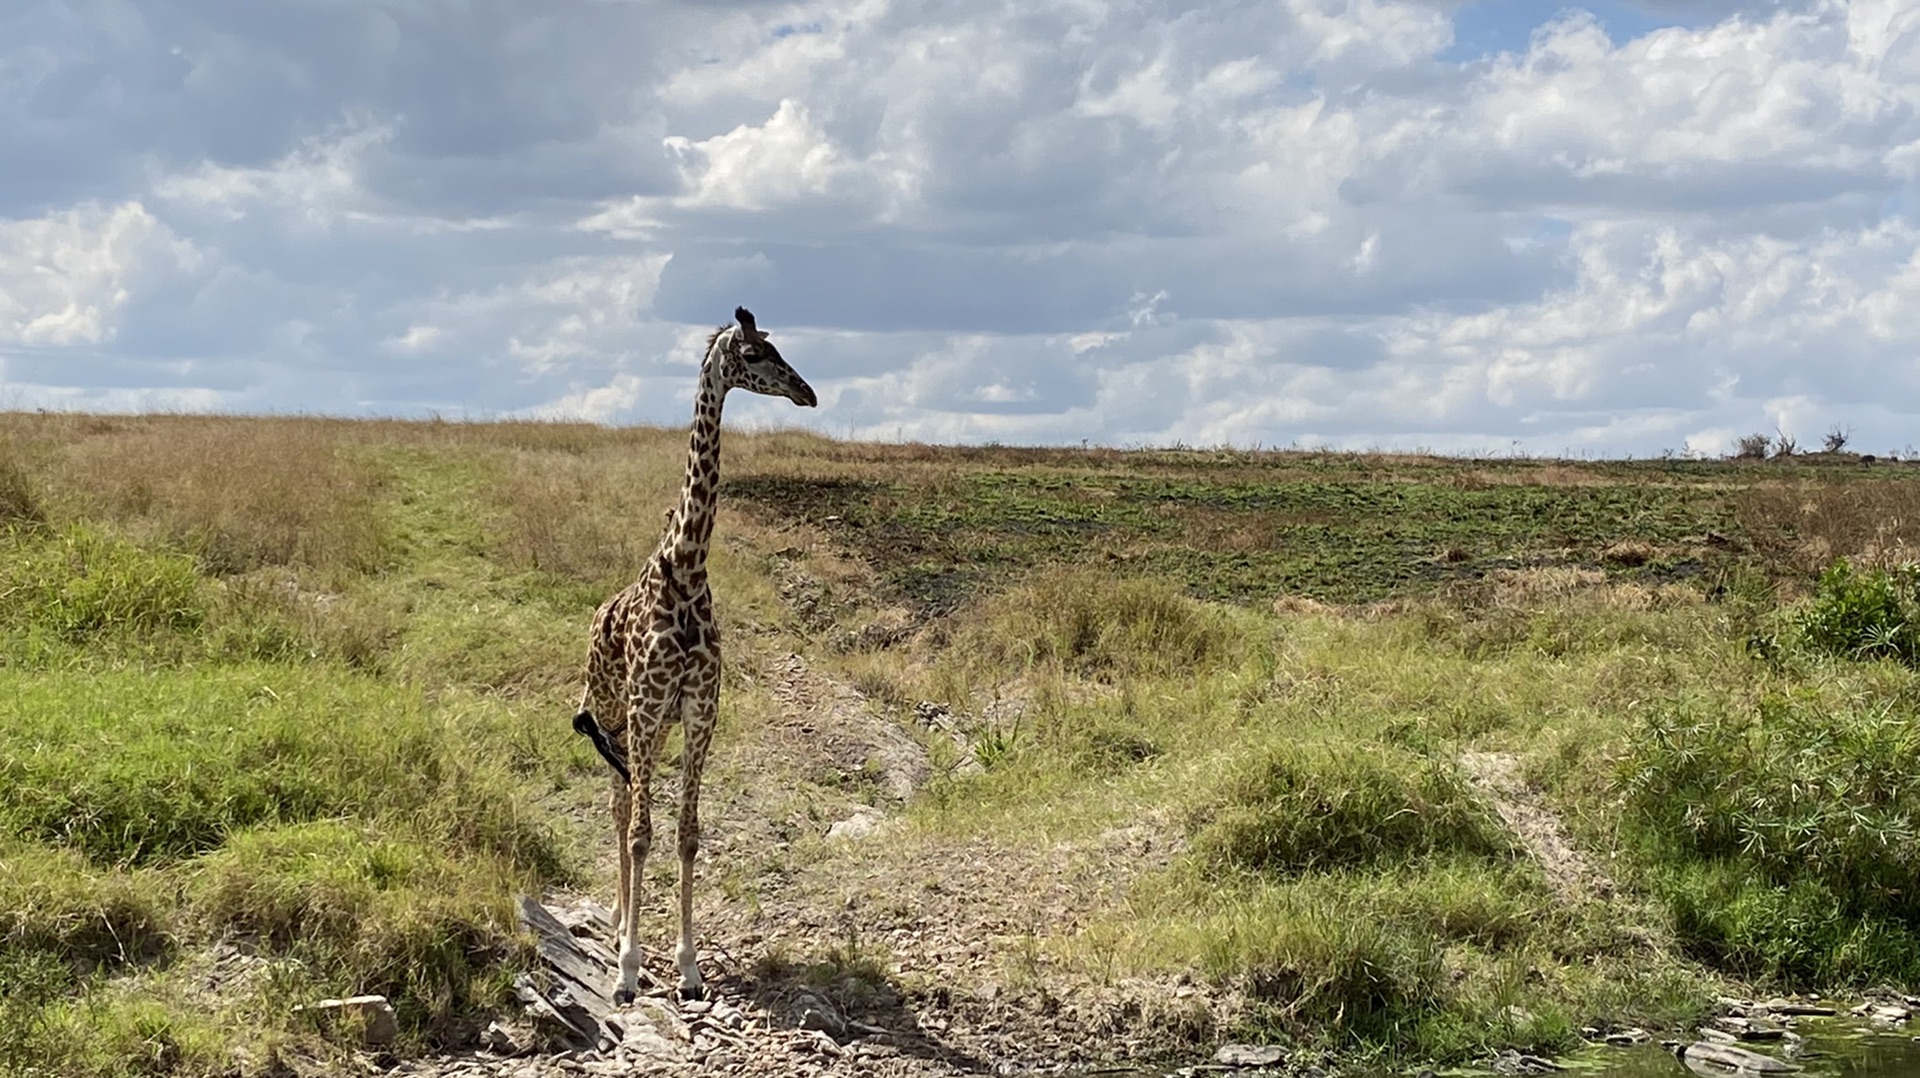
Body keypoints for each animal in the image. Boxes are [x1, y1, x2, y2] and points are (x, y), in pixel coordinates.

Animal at [564, 303, 814, 999]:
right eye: (753, 354)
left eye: (777, 348)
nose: (807, 392)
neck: (687, 566)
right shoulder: (649, 712)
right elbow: (642, 834)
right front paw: (628, 967)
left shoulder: (700, 714)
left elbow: (686, 834)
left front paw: (688, 966)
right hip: (615, 719)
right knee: (620, 811)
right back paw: (618, 928)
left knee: (628, 808)